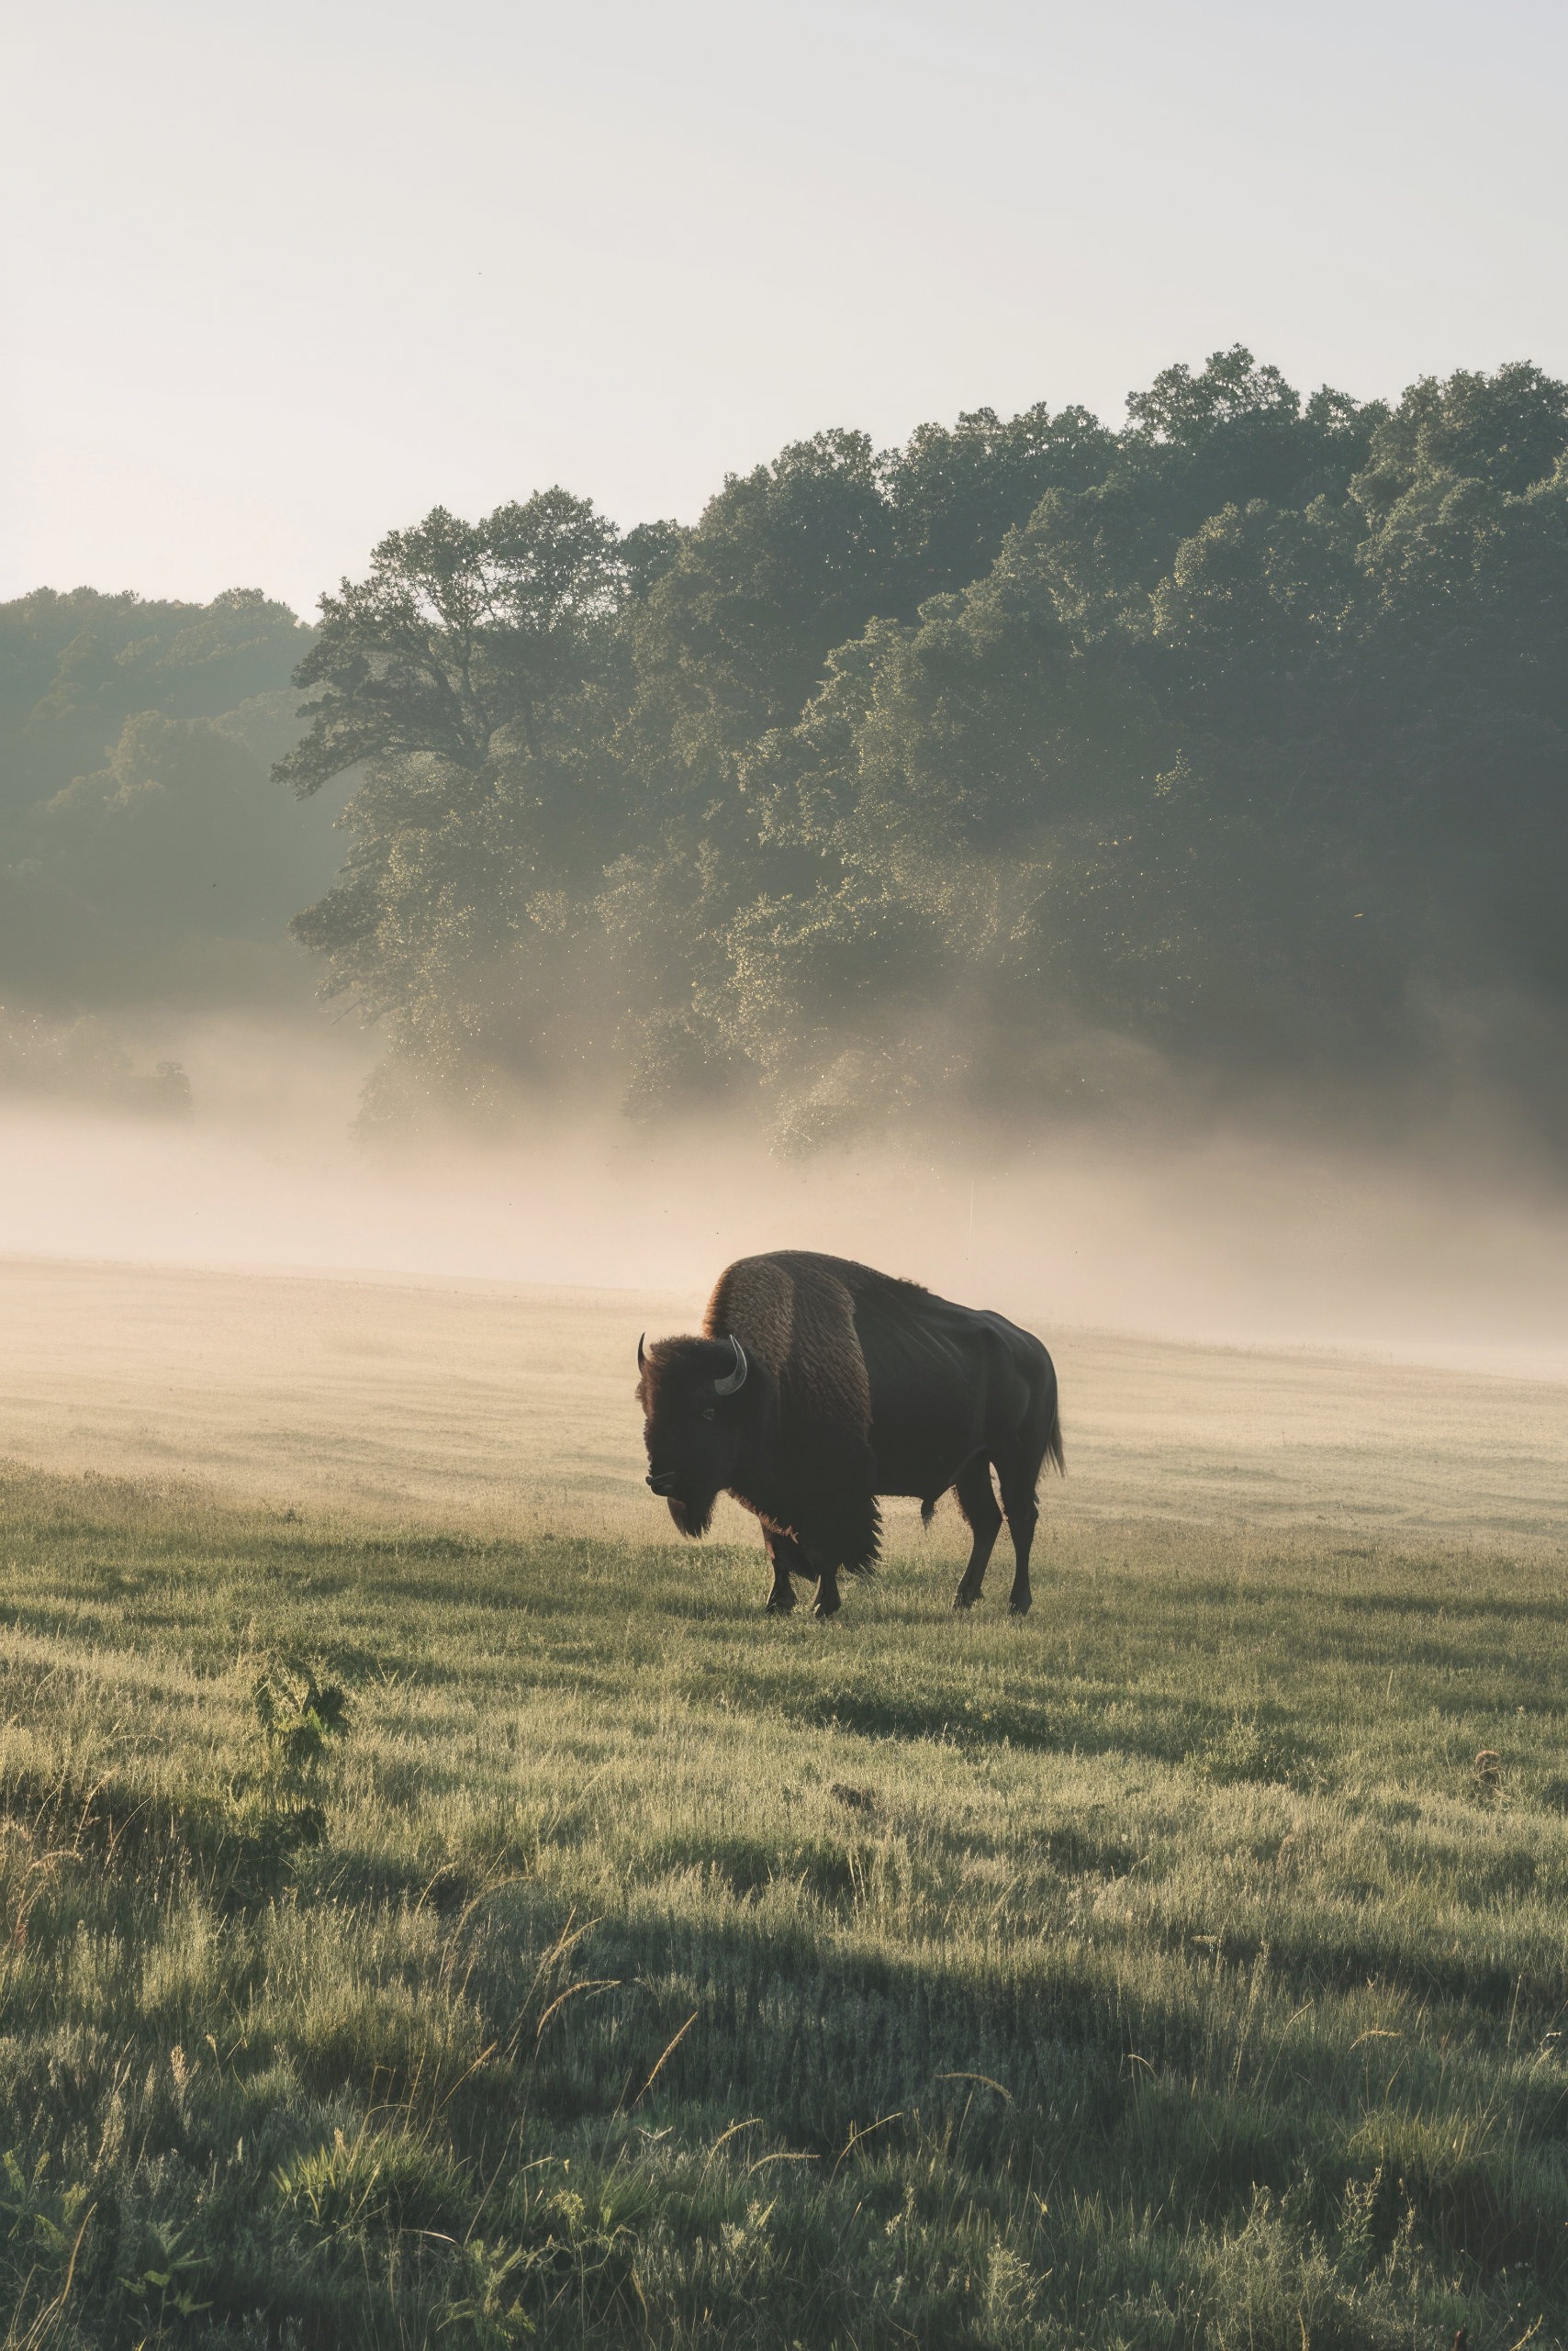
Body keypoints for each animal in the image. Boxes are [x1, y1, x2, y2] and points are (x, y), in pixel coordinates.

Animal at [636, 1249, 1062, 1618]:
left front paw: (822, 1606)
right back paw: (962, 1598)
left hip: (1014, 1457)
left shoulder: (834, 1488)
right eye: (649, 1408)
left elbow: (827, 1548)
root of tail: (1037, 1351)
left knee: (1021, 1517)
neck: (763, 1383)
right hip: (972, 1466)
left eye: (707, 1411)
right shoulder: (772, 1491)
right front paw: (777, 1603)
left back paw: (1018, 1603)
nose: (660, 1479)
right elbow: (776, 1545)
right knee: (986, 1521)